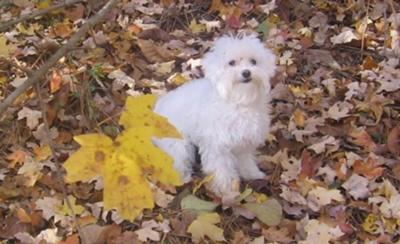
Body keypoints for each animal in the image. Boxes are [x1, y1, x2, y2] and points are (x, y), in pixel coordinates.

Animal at [155, 34, 276, 195]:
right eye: (231, 63)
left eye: (253, 61)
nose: (246, 72)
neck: (238, 101)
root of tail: (159, 104)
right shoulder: (217, 146)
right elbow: (221, 169)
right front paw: (227, 191)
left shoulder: (244, 142)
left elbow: (245, 160)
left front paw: (252, 174)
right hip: (176, 142)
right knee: (177, 159)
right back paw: (182, 178)